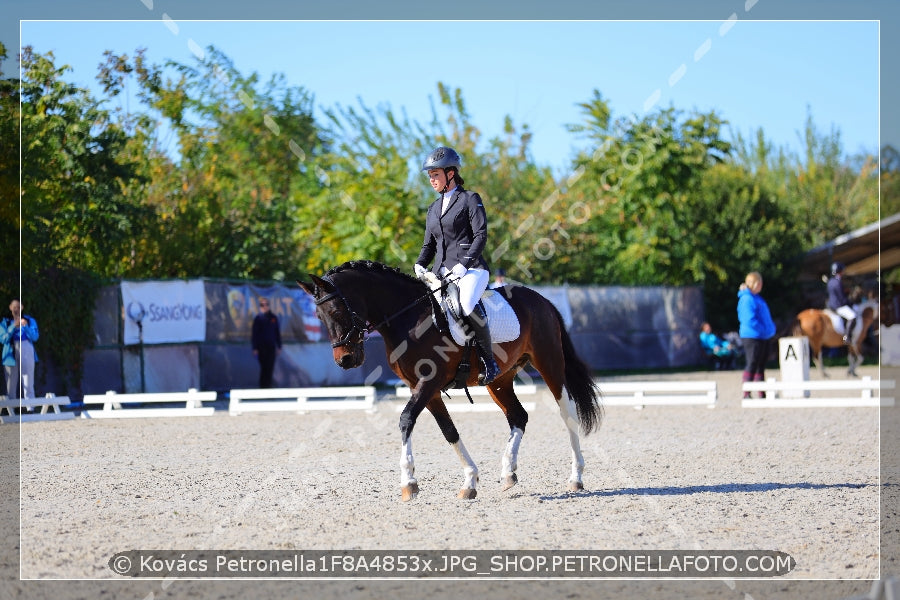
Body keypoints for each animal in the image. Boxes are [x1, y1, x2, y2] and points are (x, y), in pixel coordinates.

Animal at [298, 260, 600, 500]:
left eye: (337, 312)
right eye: (318, 317)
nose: (345, 360)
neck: (409, 318)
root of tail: (542, 300)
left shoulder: (429, 381)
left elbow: (406, 419)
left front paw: (408, 482)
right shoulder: (423, 388)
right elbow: (449, 431)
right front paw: (469, 481)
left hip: (550, 363)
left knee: (567, 413)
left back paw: (576, 477)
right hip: (499, 379)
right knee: (518, 416)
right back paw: (508, 473)